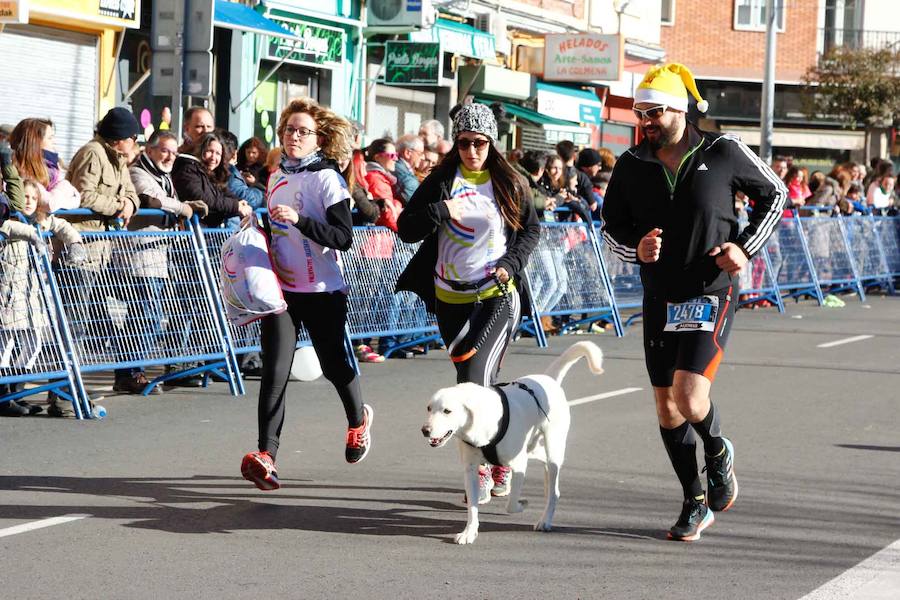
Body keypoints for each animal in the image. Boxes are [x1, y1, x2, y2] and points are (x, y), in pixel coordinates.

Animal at [422, 342, 604, 544]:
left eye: (447, 411)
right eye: (429, 408)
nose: (425, 430)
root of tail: (549, 379)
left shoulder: (519, 465)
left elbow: (511, 504)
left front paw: (521, 504)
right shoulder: (470, 471)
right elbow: (473, 508)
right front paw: (469, 532)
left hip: (553, 449)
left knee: (554, 489)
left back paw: (545, 520)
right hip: (537, 448)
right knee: (547, 479)